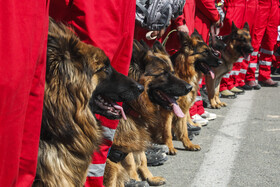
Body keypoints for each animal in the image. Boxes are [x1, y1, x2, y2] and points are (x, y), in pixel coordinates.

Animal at [103, 40, 192, 186]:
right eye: (163, 73)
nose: (190, 87)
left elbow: (140, 158)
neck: (130, 104)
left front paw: (148, 178)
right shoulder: (114, 150)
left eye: (172, 72)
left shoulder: (133, 136)